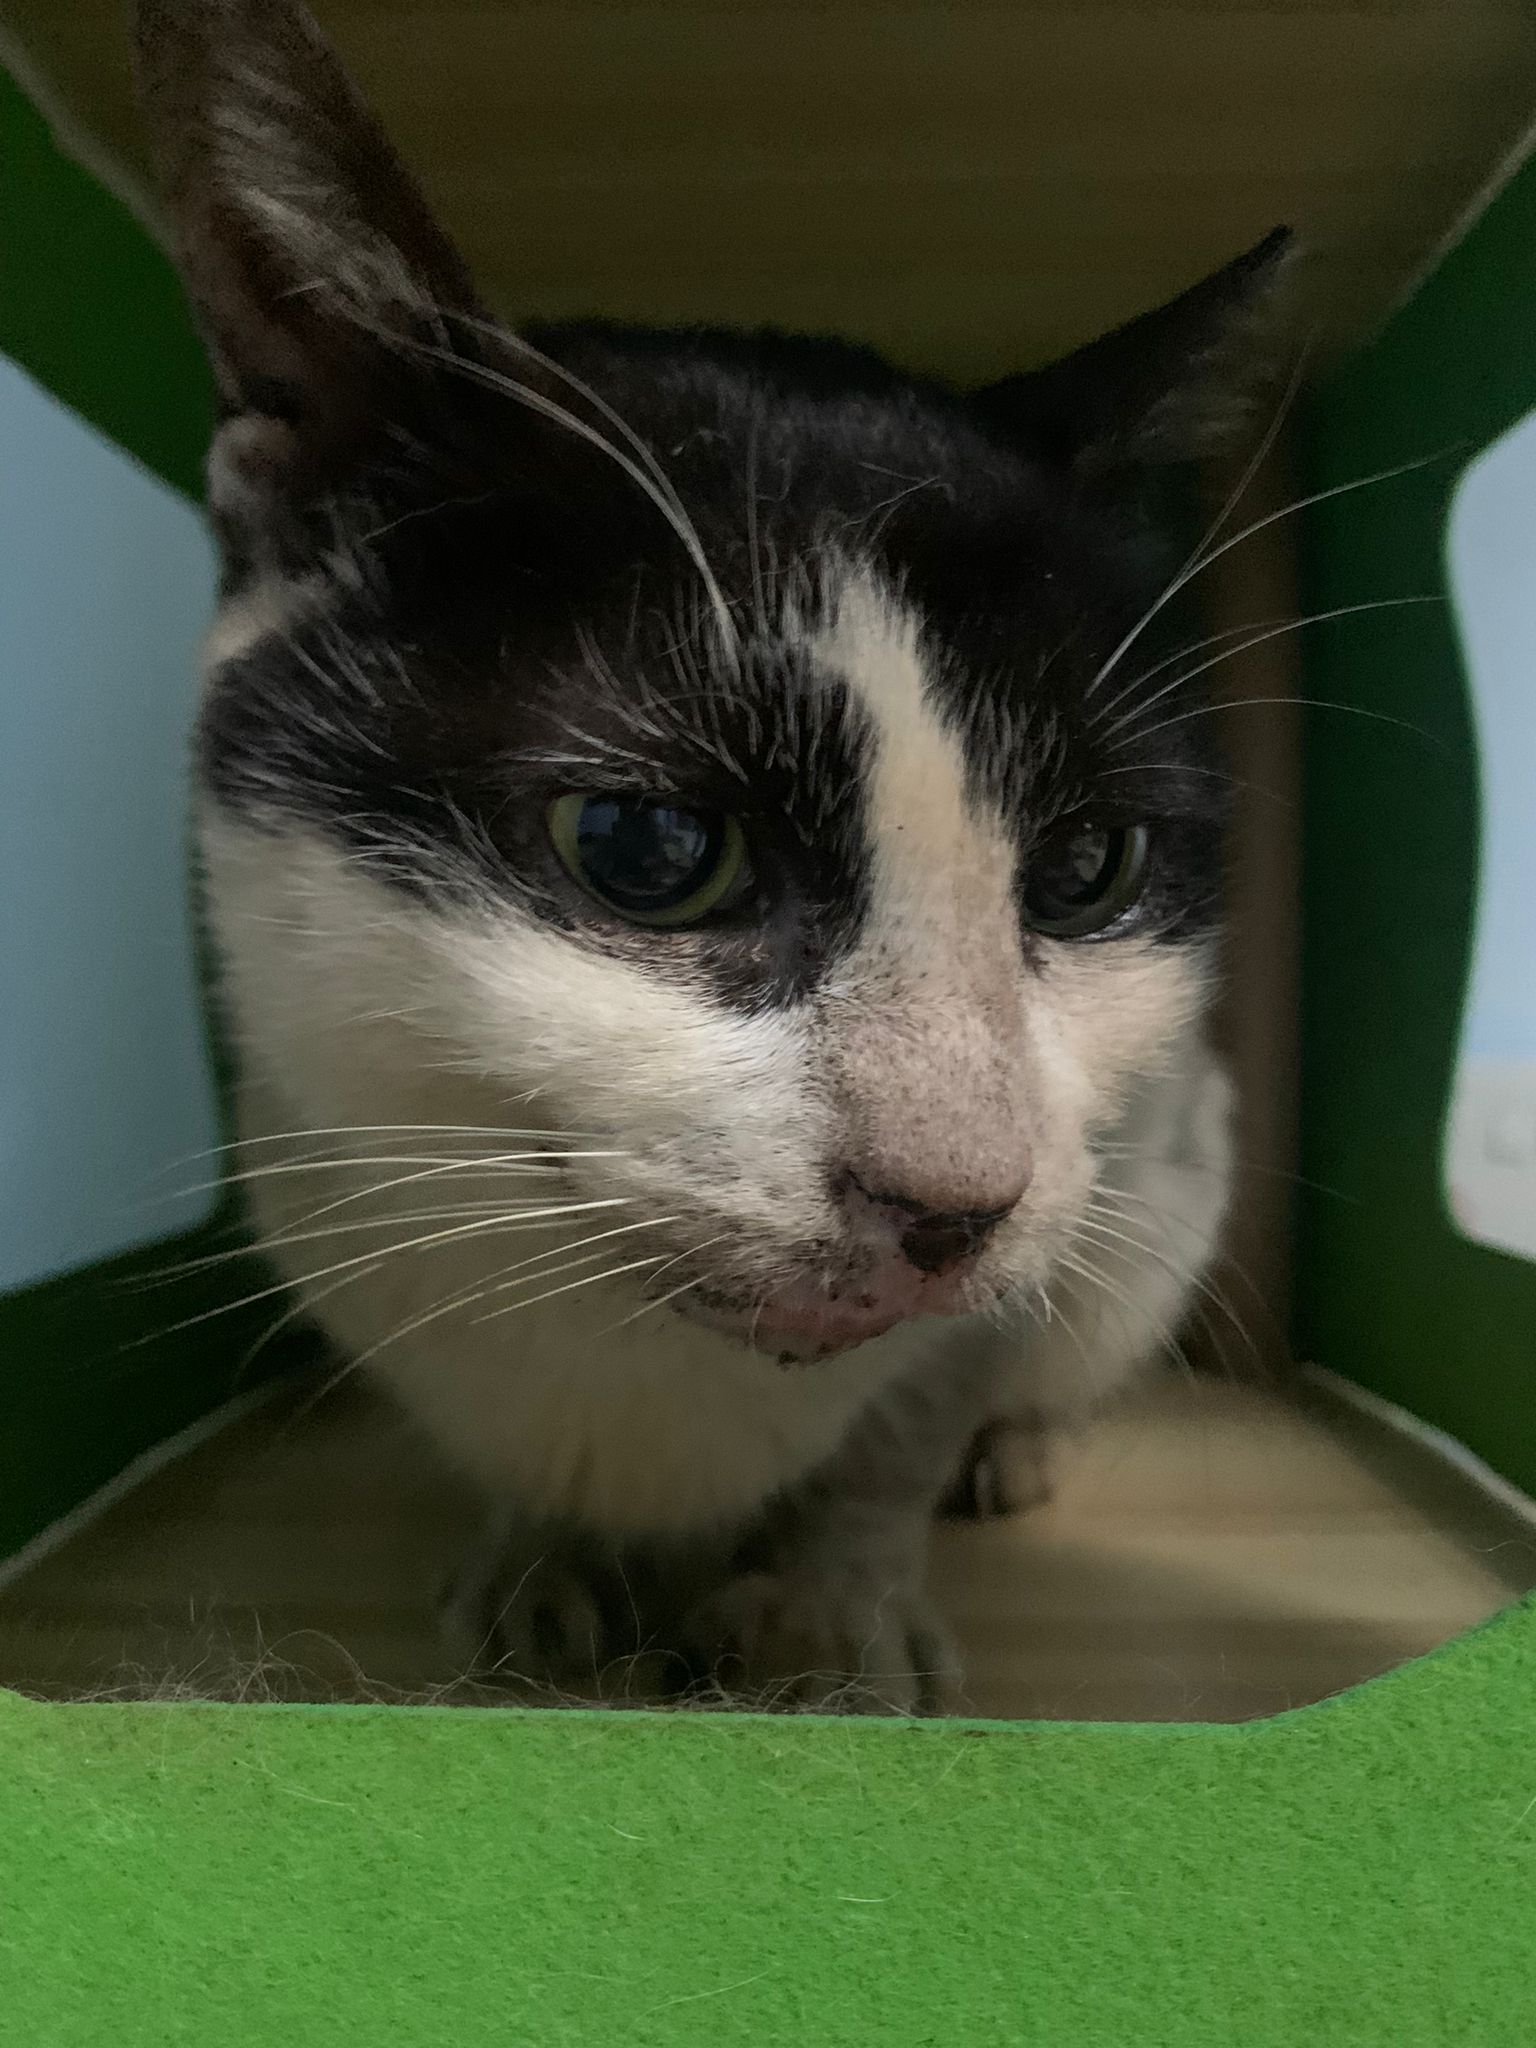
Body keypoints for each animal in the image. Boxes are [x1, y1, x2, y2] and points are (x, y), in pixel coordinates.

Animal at [135, 0, 1278, 1710]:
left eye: (1089, 867)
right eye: (646, 844)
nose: (956, 1202)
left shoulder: (1095, 1178)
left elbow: (909, 1422)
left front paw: (831, 1613)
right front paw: (540, 1564)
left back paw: (1019, 1452)